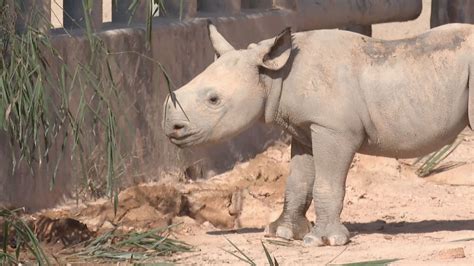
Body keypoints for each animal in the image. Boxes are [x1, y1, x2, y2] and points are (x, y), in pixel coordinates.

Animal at [163, 23, 474, 246]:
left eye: (213, 100)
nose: (171, 128)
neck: (273, 75)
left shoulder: (334, 130)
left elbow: (326, 184)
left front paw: (322, 240)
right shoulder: (305, 129)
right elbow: (297, 183)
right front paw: (282, 234)